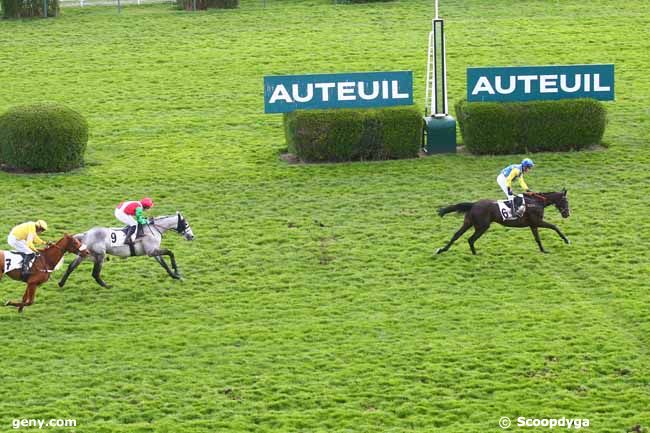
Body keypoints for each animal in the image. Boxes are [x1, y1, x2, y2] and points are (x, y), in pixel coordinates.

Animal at [58, 212, 192, 288]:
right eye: (185, 224)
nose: (192, 236)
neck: (153, 229)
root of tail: (86, 234)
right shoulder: (151, 252)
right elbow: (170, 252)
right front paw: (177, 271)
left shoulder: (153, 251)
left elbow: (164, 264)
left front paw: (175, 276)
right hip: (100, 255)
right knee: (95, 273)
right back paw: (107, 286)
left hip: (84, 254)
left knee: (71, 267)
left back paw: (61, 283)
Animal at [436, 188, 568, 253]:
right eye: (566, 201)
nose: (567, 213)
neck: (537, 202)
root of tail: (474, 204)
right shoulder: (537, 222)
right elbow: (555, 227)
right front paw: (566, 240)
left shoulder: (533, 224)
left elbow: (537, 238)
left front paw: (543, 250)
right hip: (482, 226)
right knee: (471, 239)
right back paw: (475, 254)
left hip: (469, 223)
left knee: (456, 235)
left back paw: (442, 250)